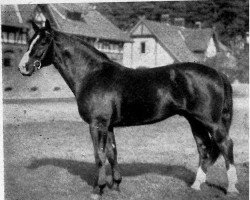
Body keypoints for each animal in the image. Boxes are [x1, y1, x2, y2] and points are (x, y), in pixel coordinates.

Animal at [18, 19, 239, 198]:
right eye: (29, 41)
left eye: (43, 42)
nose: (23, 67)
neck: (92, 74)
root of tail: (218, 73)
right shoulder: (108, 126)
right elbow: (112, 154)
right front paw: (115, 186)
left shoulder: (97, 124)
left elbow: (99, 156)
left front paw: (97, 189)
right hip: (195, 121)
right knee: (204, 148)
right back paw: (196, 185)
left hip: (211, 122)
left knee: (225, 145)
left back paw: (232, 188)